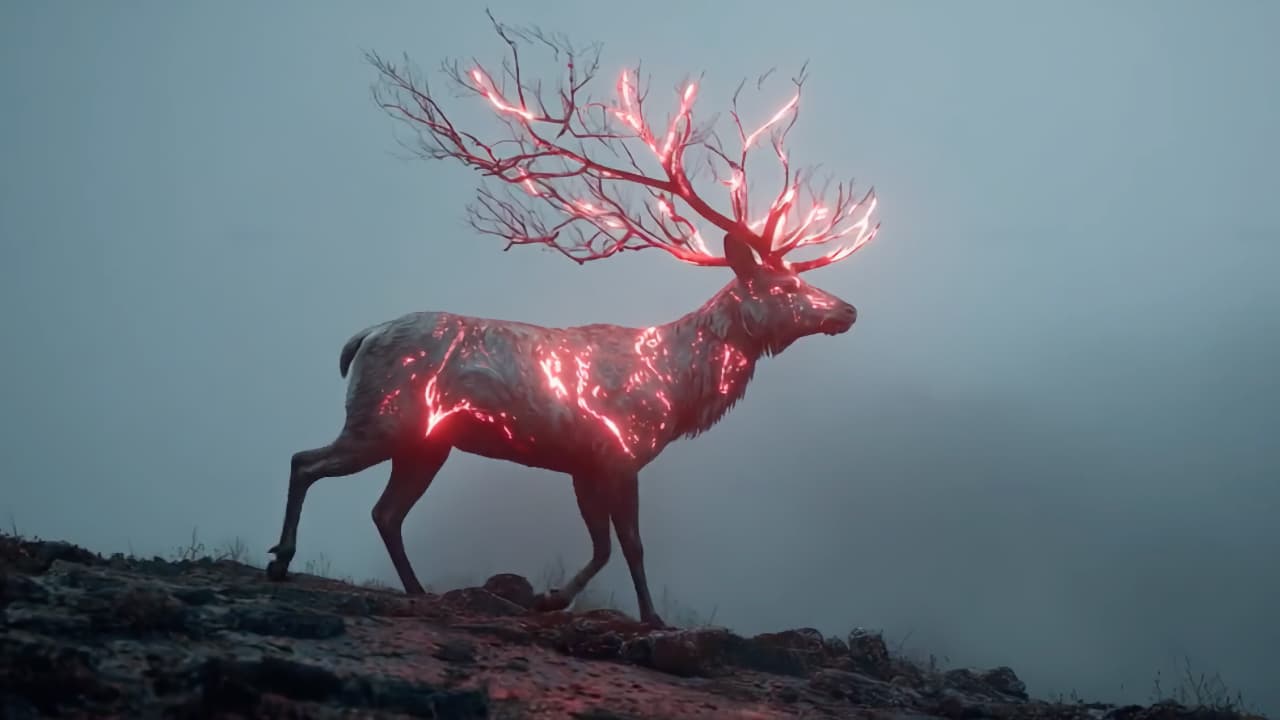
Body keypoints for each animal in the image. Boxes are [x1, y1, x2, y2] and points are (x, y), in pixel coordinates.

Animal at [265, 17, 881, 628]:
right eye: (787, 286)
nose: (849, 310)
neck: (677, 388)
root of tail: (362, 337)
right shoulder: (616, 450)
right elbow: (630, 545)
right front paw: (646, 617)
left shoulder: (582, 463)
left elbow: (602, 546)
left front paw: (551, 597)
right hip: (386, 416)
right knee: (306, 462)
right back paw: (283, 560)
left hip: (426, 441)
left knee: (385, 511)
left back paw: (417, 590)